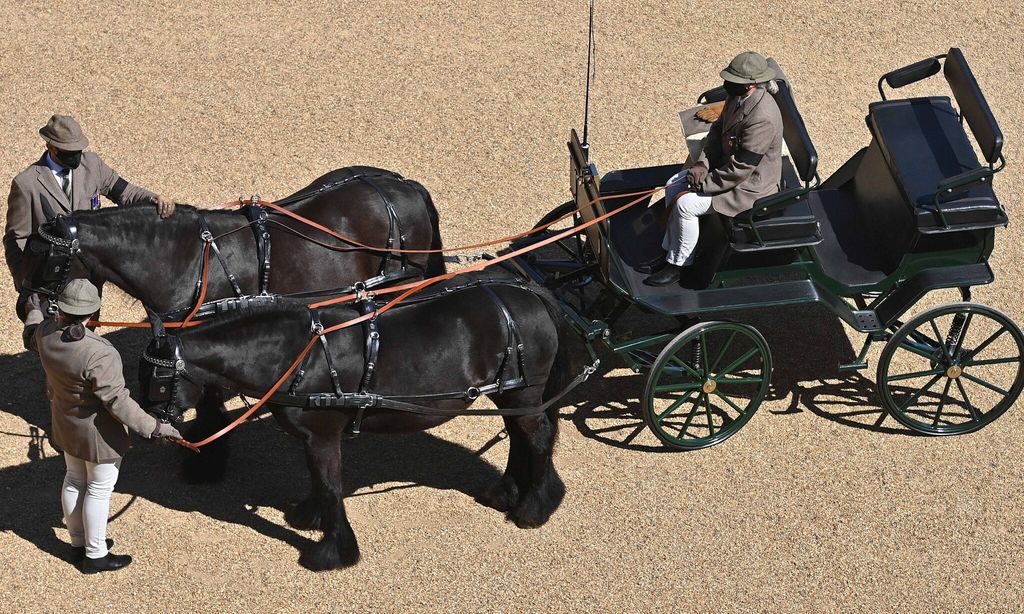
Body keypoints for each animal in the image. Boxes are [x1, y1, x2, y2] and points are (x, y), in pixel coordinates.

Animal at [139, 274, 585, 568]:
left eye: (158, 381)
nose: (152, 432)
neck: (298, 355)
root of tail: (530, 293)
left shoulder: (322, 435)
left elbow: (331, 485)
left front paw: (333, 551)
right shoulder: (313, 438)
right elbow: (319, 482)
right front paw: (309, 517)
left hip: (523, 394)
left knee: (537, 439)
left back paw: (534, 506)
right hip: (512, 395)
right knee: (520, 438)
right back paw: (507, 492)